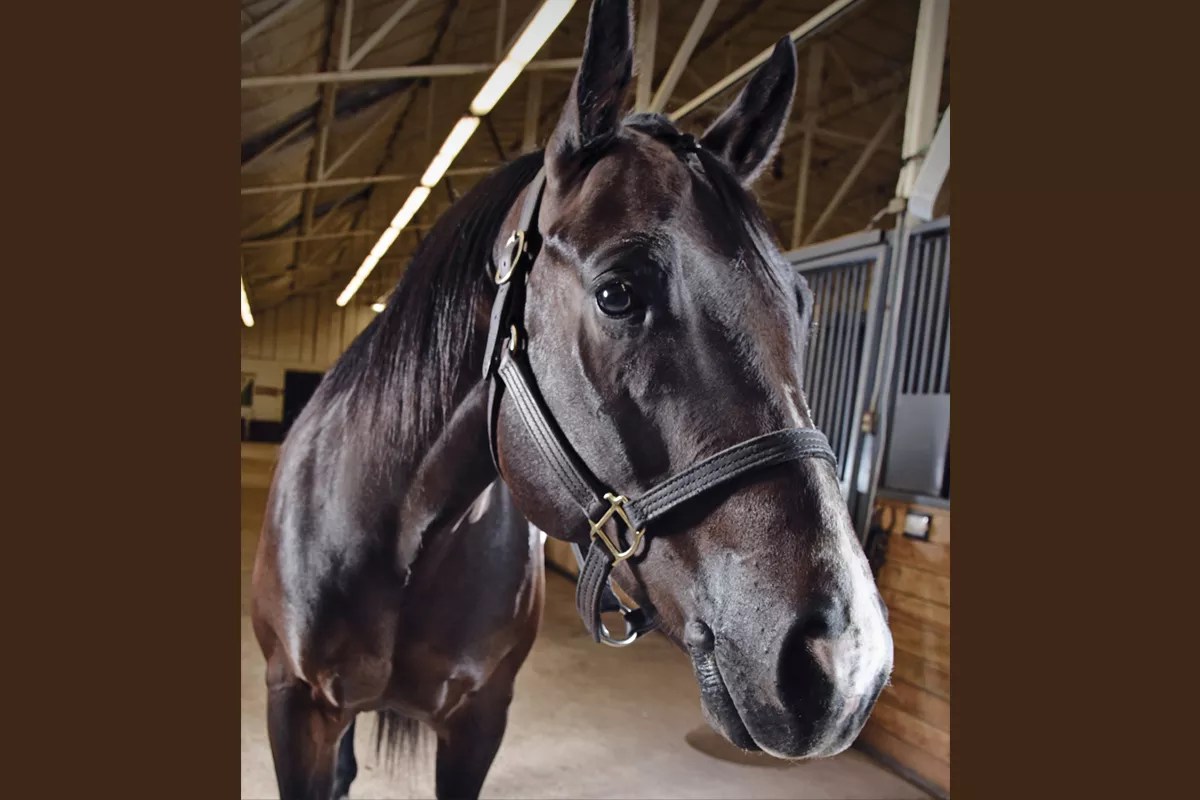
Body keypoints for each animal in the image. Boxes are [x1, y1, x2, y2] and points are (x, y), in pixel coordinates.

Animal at [251, 2, 893, 798]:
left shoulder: (479, 719)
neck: (403, 536)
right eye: (618, 293)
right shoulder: (296, 708)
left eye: (802, 305)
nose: (845, 667)